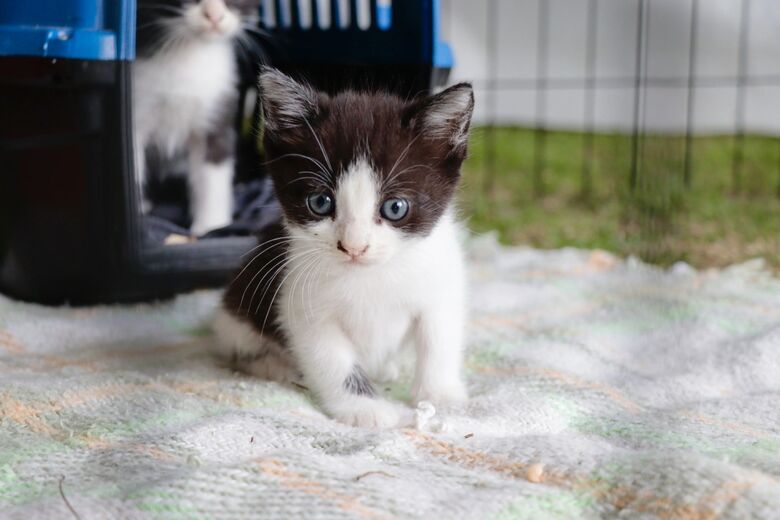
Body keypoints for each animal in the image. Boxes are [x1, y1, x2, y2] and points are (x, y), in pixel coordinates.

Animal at [212, 69, 476, 426]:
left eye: (395, 208)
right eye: (320, 202)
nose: (354, 246)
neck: (370, 275)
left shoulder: (440, 283)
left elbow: (439, 339)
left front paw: (441, 396)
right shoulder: (301, 305)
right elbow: (331, 359)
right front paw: (365, 409)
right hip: (235, 317)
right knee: (241, 350)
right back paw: (276, 366)